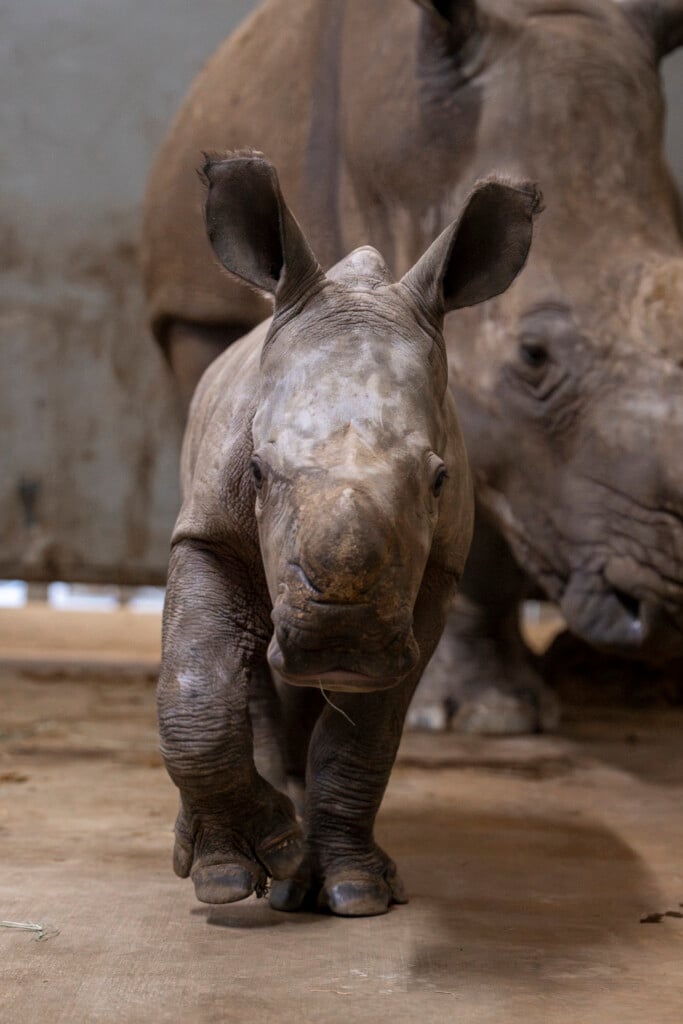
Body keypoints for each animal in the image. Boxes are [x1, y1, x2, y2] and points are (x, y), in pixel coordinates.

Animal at [158, 152, 539, 914]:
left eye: (439, 480)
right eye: (255, 469)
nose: (341, 639)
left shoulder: (433, 575)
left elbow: (367, 734)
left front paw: (356, 889)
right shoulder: (207, 532)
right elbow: (195, 683)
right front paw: (227, 874)